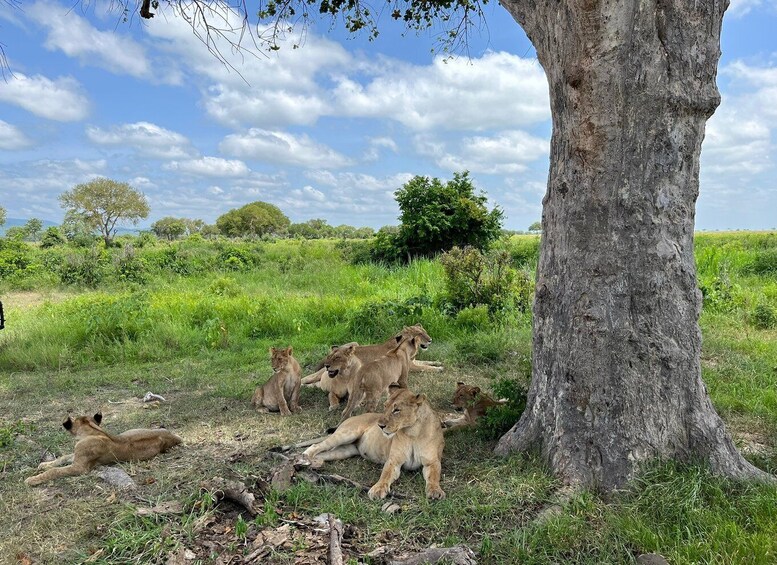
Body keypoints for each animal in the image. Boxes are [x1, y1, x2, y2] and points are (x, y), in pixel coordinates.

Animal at [23, 410, 182, 484]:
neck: (92, 430)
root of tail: (174, 436)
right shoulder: (76, 456)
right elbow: (61, 458)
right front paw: (43, 465)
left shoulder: (80, 467)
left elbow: (55, 471)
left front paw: (32, 479)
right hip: (131, 431)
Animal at [302, 386, 446, 500]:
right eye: (385, 406)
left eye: (397, 410)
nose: (380, 425)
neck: (413, 433)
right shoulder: (394, 461)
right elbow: (385, 475)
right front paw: (378, 489)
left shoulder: (432, 462)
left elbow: (434, 477)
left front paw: (435, 491)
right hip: (347, 434)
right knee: (317, 445)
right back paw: (305, 457)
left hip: (344, 451)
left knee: (324, 454)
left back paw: (310, 462)